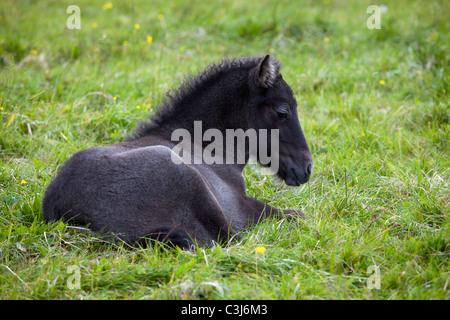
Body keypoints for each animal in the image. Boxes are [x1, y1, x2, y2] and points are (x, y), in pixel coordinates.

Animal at [44, 56, 314, 249]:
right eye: (282, 112)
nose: (307, 167)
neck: (206, 146)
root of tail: (64, 213)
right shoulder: (241, 205)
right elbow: (297, 215)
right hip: (187, 177)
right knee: (229, 240)